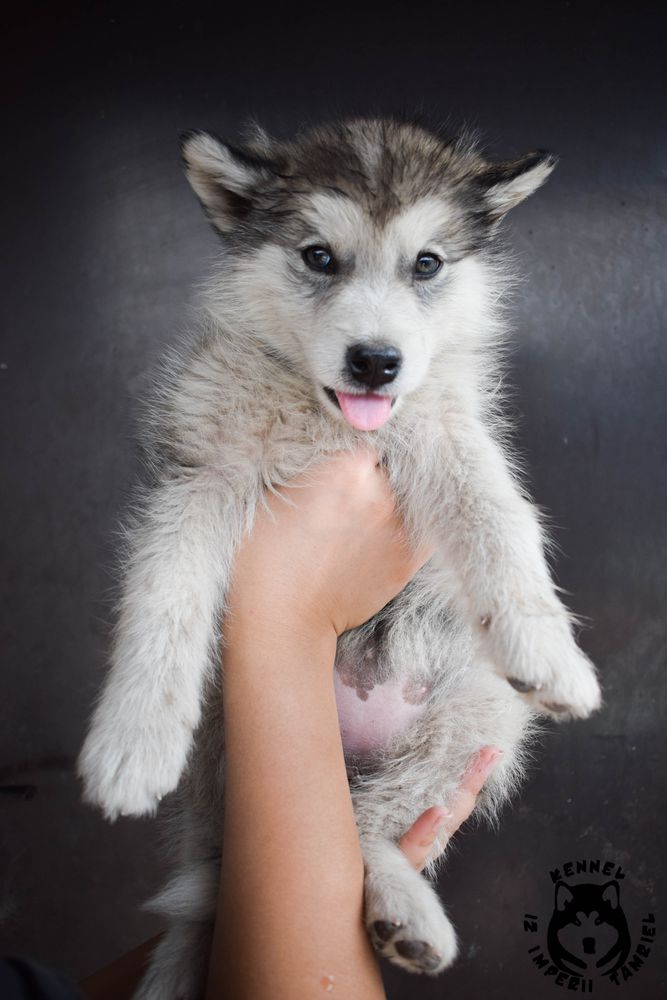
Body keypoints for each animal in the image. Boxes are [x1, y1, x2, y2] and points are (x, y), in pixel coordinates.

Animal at [77, 115, 600, 992]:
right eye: (318, 256)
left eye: (426, 263)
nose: (375, 361)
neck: (325, 420)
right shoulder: (199, 474)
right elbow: (164, 595)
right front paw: (132, 739)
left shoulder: (447, 429)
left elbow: (498, 513)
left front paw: (548, 648)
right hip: (231, 740)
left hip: (474, 715)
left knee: (365, 825)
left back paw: (404, 912)